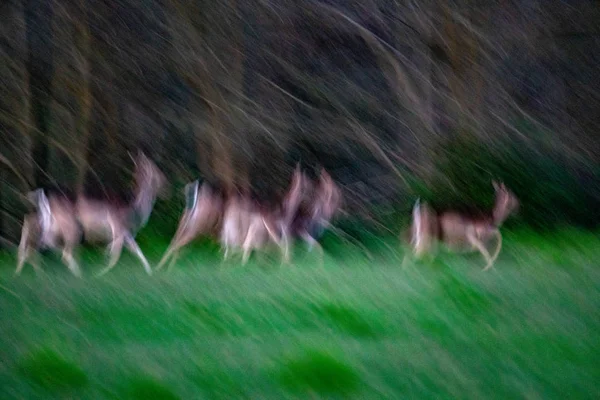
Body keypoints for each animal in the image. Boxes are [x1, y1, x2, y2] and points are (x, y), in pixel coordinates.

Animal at [16, 152, 166, 276]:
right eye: (157, 173)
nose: (167, 186)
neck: (135, 213)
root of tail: (44, 195)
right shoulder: (118, 228)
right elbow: (115, 256)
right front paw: (100, 274)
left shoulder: (126, 234)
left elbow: (136, 251)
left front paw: (151, 272)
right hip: (70, 227)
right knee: (61, 251)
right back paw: (79, 277)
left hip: (52, 224)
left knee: (40, 238)